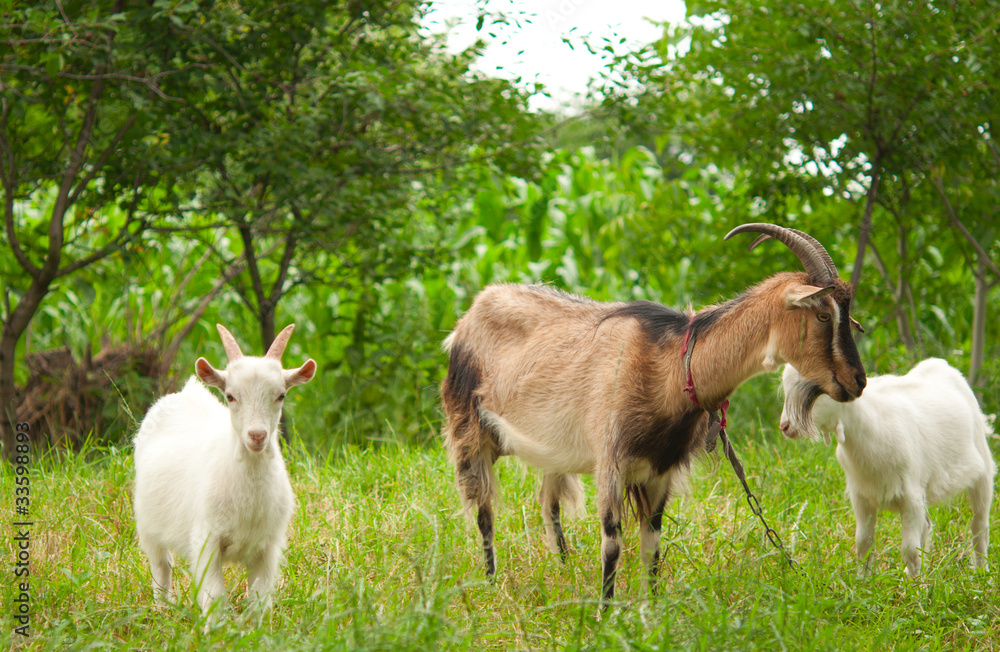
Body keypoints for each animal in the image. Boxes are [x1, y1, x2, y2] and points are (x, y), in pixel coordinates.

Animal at [133, 324, 316, 622]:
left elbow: (259, 598)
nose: (257, 436)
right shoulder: (206, 539)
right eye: (230, 396)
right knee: (161, 565)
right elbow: (214, 596)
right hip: (148, 522)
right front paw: (214, 629)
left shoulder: (268, 546)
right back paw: (163, 609)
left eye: (281, 395)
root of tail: (188, 392)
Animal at [440, 223, 867, 601]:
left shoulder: (661, 469)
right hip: (471, 430)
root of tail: (470, 315)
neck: (674, 365)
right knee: (484, 510)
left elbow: (653, 544)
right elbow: (612, 543)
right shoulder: (611, 462)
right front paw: (605, 616)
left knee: (549, 503)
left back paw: (563, 569)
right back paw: (491, 583)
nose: (858, 381)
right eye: (823, 315)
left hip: (552, 450)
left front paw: (652, 611)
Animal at [780, 358, 995, 576]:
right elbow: (863, 543)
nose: (785, 427)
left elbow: (910, 550)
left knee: (979, 525)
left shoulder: (910, 497)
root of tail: (941, 365)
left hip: (983, 469)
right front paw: (863, 580)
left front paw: (914, 585)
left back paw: (981, 571)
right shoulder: (861, 496)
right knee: (927, 525)